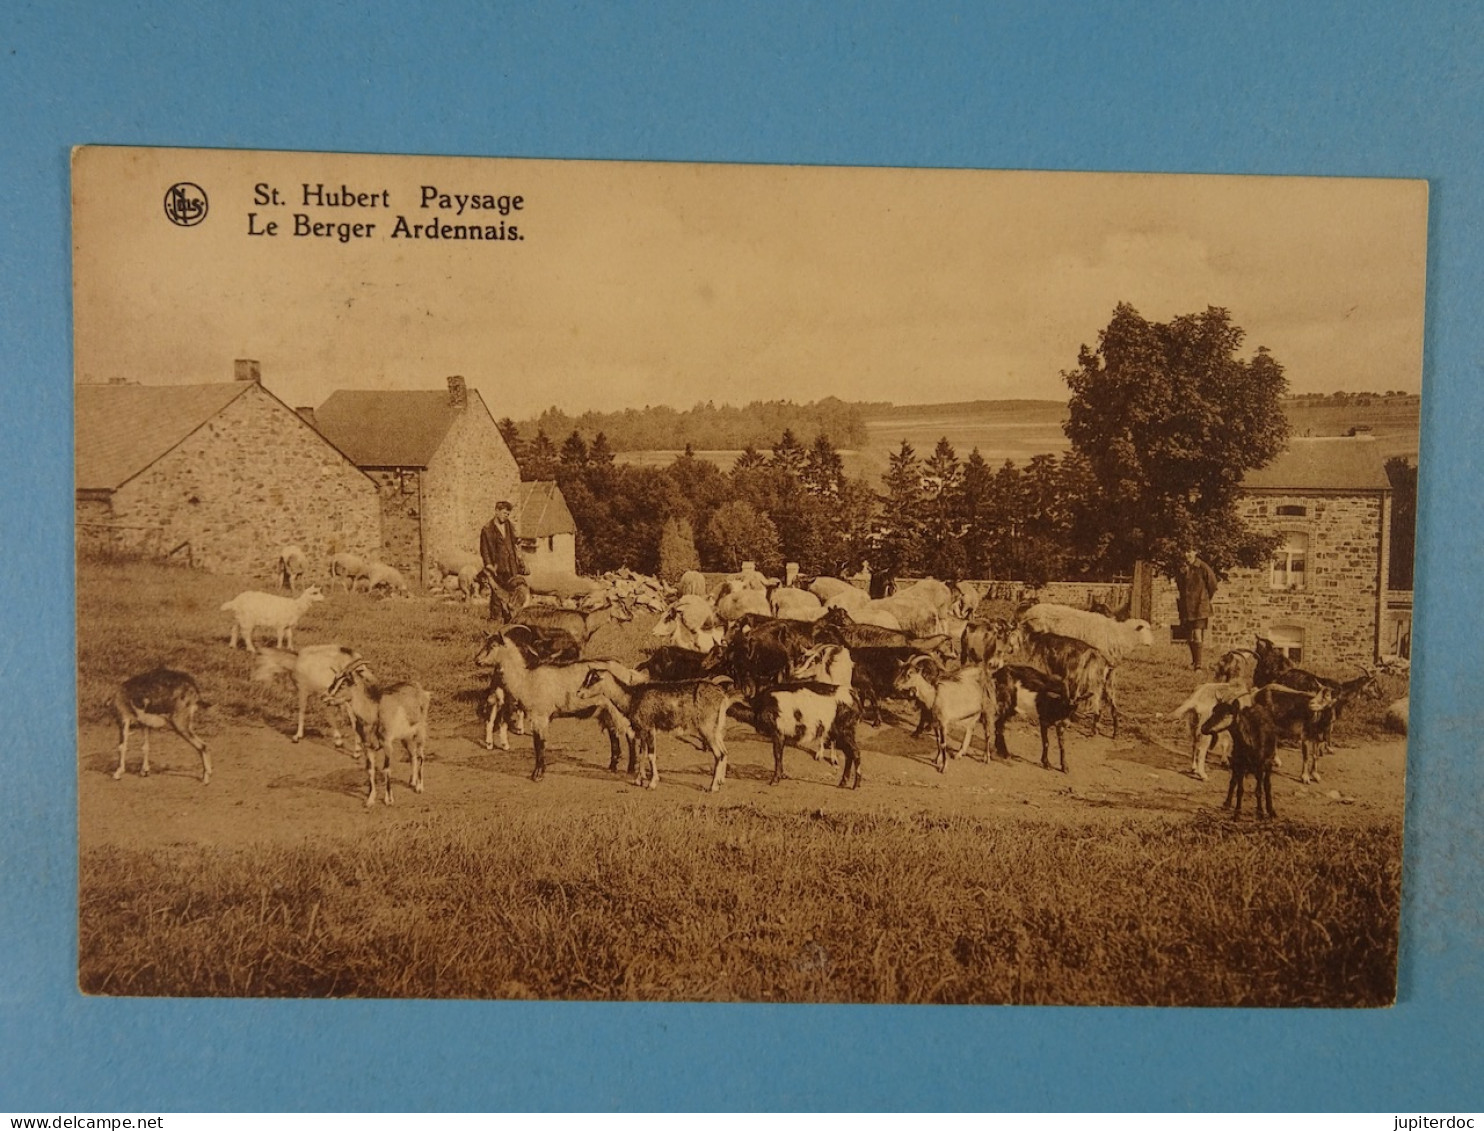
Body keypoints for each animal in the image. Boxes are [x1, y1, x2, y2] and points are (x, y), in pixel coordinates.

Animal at [324, 656, 430, 807]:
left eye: (344, 683)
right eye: (334, 680)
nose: (325, 697)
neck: (373, 712)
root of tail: (421, 690)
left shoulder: (387, 743)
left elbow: (386, 769)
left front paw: (388, 800)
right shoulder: (367, 746)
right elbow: (370, 769)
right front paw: (370, 799)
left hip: (420, 730)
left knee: (421, 755)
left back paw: (419, 787)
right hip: (406, 737)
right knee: (412, 755)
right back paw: (412, 782)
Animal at [578, 664, 742, 789]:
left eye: (595, 679)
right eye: (586, 677)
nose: (579, 692)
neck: (632, 697)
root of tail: (723, 696)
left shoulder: (650, 729)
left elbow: (651, 755)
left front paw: (652, 783)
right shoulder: (642, 731)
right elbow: (642, 754)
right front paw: (638, 780)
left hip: (706, 728)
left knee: (719, 754)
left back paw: (713, 787)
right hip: (716, 729)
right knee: (725, 752)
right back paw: (721, 781)